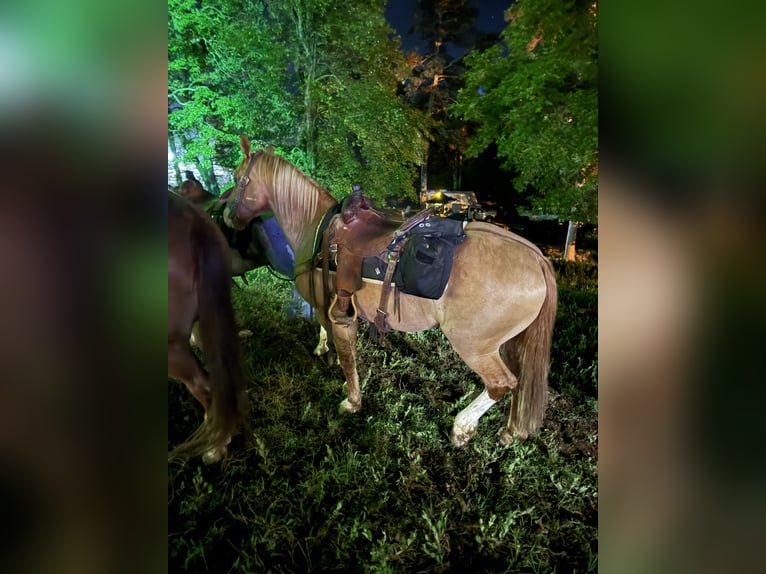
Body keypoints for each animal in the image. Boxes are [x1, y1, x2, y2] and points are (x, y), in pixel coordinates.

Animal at [224, 135, 557, 446]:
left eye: (239, 179)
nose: (227, 216)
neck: (316, 226)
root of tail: (537, 259)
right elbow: (331, 338)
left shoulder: (339, 314)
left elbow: (346, 355)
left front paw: (351, 400)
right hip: (508, 343)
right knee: (520, 381)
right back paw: (510, 430)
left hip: (474, 344)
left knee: (501, 383)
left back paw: (462, 427)